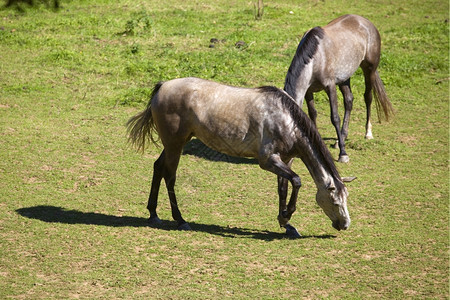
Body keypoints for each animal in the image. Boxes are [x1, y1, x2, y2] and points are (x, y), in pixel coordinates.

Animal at [126, 78, 352, 239]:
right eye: (334, 200)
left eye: (346, 198)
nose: (345, 224)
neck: (285, 119)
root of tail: (162, 87)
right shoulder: (268, 161)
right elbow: (297, 180)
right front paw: (286, 215)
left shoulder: (285, 160)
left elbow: (284, 188)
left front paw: (285, 222)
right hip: (175, 145)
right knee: (170, 176)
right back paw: (180, 220)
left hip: (175, 143)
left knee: (158, 167)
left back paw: (153, 214)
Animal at [284, 14, 394, 163]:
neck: (316, 58)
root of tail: (365, 22)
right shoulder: (308, 91)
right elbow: (313, 114)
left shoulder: (330, 87)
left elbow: (335, 117)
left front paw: (343, 154)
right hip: (344, 77)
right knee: (349, 101)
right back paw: (340, 138)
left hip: (369, 69)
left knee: (368, 97)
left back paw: (368, 133)